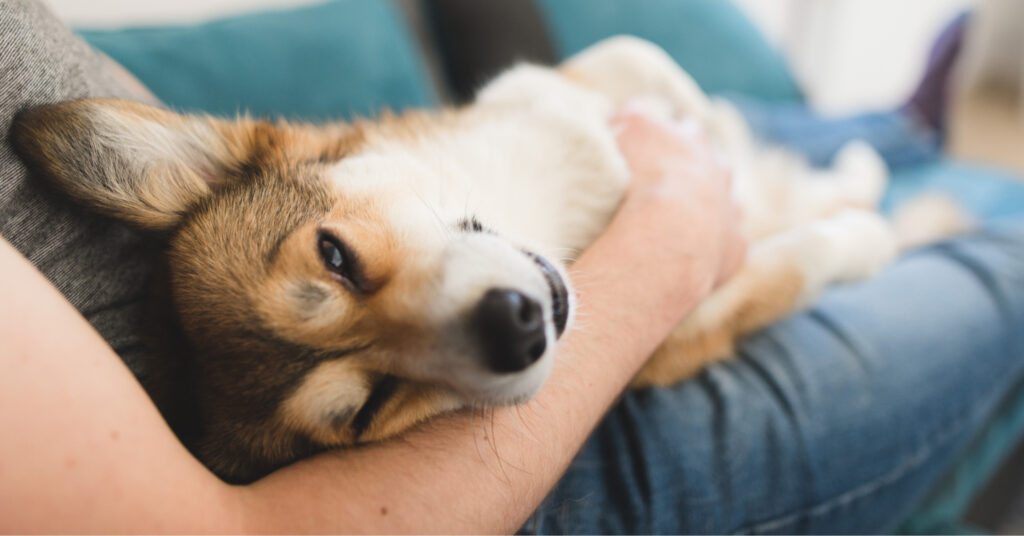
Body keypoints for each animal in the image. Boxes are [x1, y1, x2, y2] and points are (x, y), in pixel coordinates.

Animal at [9, 36, 966, 481]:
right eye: (369, 407)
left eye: (336, 255)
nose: (515, 329)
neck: (551, 220)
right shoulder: (693, 324)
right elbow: (808, 256)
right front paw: (858, 237)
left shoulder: (567, 85)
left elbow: (663, 81)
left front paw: (719, 140)